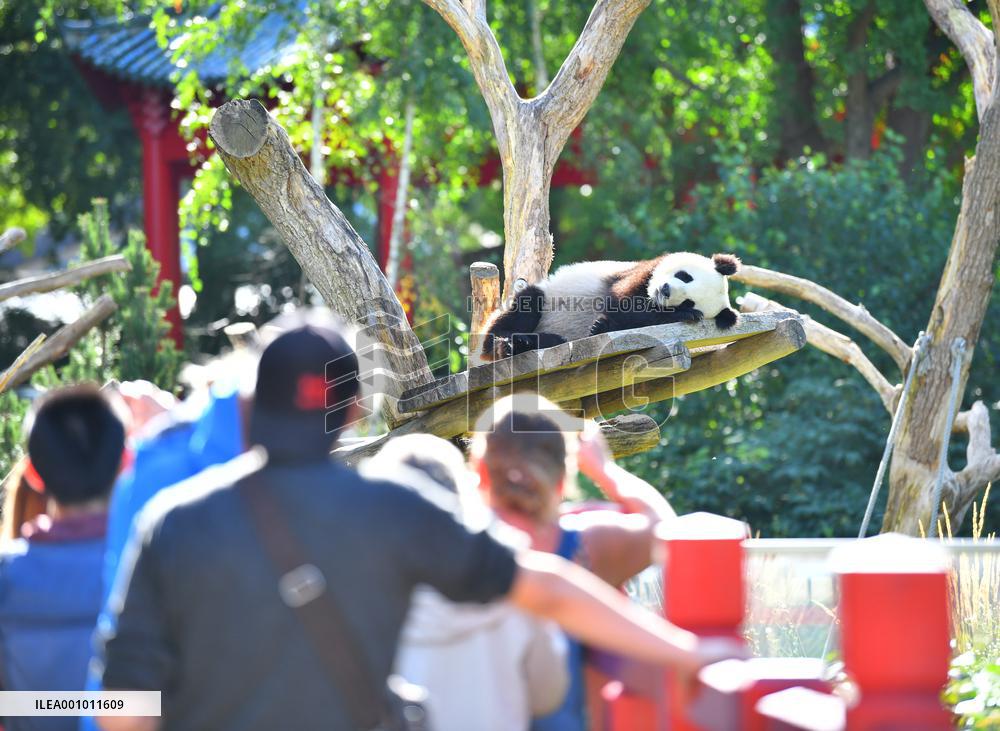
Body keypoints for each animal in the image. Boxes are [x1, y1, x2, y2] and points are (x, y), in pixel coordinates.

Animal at [481, 251, 740, 361]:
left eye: (690, 300)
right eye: (685, 276)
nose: (665, 291)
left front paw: (600, 326)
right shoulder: (642, 271)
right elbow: (621, 302)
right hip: (545, 298)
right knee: (527, 304)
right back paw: (509, 342)